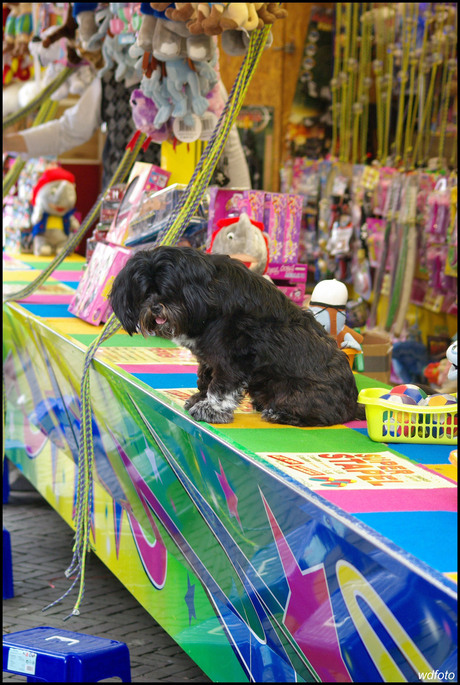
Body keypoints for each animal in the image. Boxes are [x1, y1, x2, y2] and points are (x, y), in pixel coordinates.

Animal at [109, 247, 364, 422]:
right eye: (145, 292)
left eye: (169, 289)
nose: (155, 306)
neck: (206, 293)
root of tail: (353, 403)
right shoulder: (209, 356)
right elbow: (205, 378)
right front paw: (200, 398)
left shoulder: (235, 355)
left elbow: (221, 385)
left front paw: (210, 409)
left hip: (297, 392)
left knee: (323, 416)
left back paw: (279, 413)